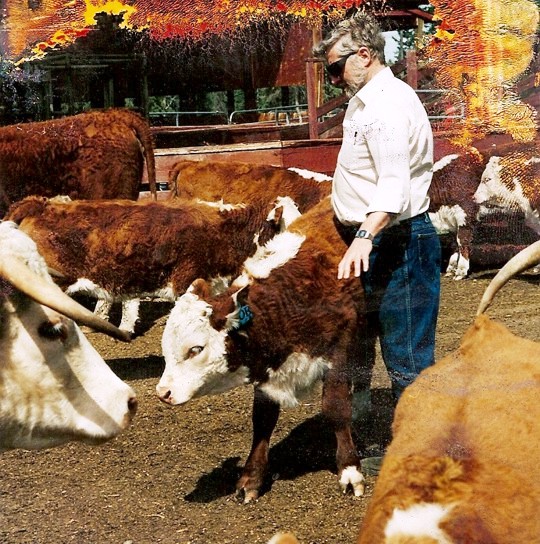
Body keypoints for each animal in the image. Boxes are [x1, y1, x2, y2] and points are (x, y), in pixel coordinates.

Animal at [154, 198, 370, 504]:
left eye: (196, 349)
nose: (163, 393)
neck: (292, 298)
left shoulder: (337, 352)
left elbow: (336, 408)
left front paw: (350, 471)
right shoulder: (265, 368)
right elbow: (263, 419)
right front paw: (251, 478)